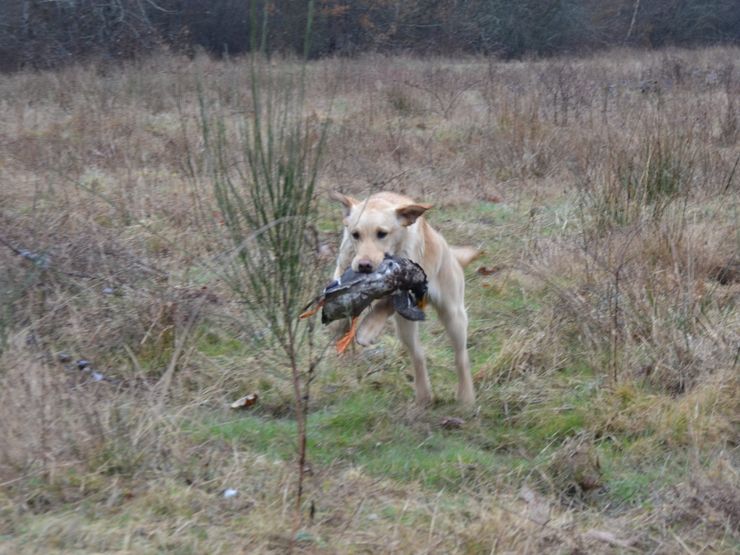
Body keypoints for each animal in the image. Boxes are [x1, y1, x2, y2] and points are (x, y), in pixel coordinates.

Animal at [330, 191, 478, 405]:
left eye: (382, 233)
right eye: (355, 234)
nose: (364, 265)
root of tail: (450, 253)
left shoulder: (406, 282)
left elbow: (383, 305)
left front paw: (368, 329)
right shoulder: (343, 266)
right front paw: (339, 326)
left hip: (453, 315)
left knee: (461, 356)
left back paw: (466, 397)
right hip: (405, 327)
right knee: (418, 355)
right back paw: (424, 395)